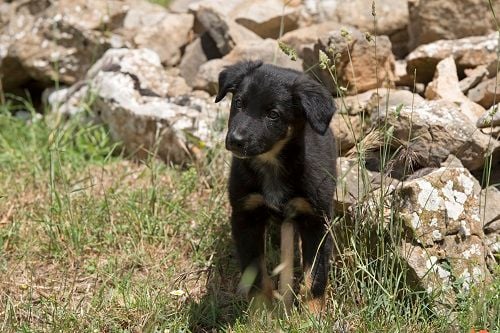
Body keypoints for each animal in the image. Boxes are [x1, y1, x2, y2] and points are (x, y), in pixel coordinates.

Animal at [214, 59, 336, 312]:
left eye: (273, 115)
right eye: (238, 103)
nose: (235, 141)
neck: (272, 165)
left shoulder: (317, 220)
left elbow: (316, 274)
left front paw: (313, 312)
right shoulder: (245, 215)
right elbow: (255, 271)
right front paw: (262, 310)